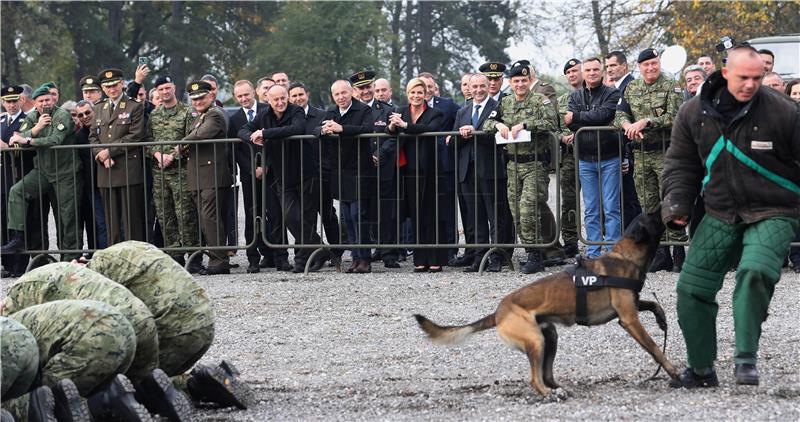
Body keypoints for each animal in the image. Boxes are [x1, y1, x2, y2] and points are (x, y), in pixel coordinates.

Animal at [412, 209, 680, 394]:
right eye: (653, 216)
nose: (665, 205)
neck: (625, 257)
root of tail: (499, 311)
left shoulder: (631, 307)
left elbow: (653, 305)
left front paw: (661, 318)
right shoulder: (629, 318)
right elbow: (654, 347)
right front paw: (672, 371)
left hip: (548, 336)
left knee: (547, 375)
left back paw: (557, 389)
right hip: (535, 339)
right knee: (535, 378)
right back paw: (548, 394)